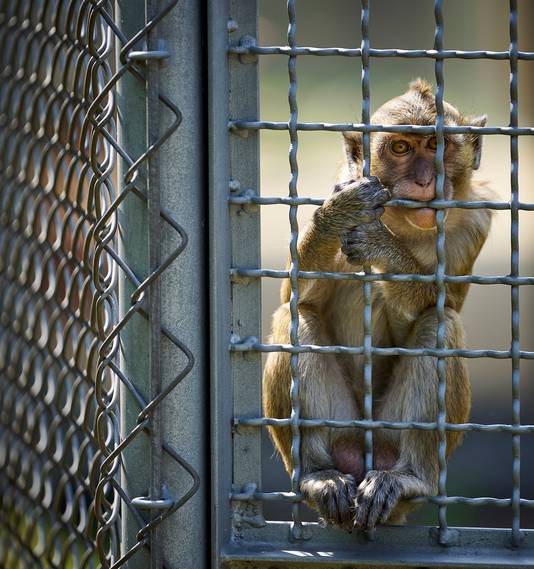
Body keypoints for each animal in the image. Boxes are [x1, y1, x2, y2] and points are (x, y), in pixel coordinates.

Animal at [264, 79, 494, 528]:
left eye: (437, 146)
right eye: (401, 148)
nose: (424, 180)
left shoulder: (475, 223)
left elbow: (441, 304)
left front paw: (381, 246)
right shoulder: (343, 181)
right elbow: (294, 294)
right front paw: (338, 216)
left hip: (391, 435)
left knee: (440, 325)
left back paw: (406, 478)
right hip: (342, 428)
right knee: (294, 319)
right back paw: (319, 475)